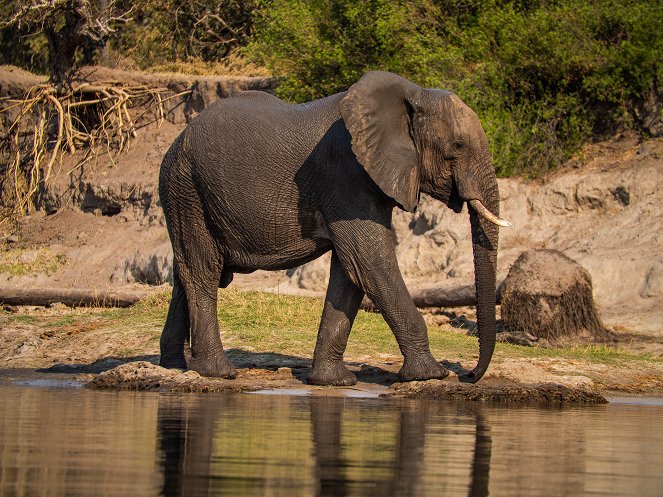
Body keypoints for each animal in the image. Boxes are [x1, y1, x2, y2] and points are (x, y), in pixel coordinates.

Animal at [158, 70, 510, 384]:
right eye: (458, 146)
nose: (469, 374)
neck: (412, 93)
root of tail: (177, 140)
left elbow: (350, 271)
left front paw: (333, 381)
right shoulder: (347, 174)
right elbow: (369, 261)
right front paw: (430, 375)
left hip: (185, 191)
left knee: (185, 273)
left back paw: (174, 365)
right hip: (187, 188)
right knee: (203, 270)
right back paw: (218, 372)